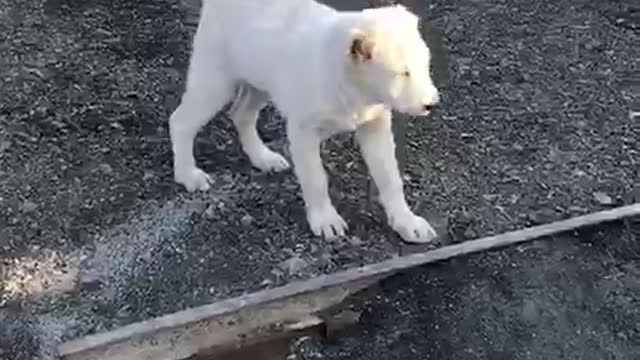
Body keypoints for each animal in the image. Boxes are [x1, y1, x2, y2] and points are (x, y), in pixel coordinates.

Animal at [169, 0, 440, 245]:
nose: (432, 104)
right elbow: (315, 179)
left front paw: (406, 222)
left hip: (259, 82)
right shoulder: (303, 132)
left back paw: (262, 158)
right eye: (403, 73)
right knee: (180, 122)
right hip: (215, 80)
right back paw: (188, 174)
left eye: (425, 65)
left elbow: (390, 177)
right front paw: (325, 220)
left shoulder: (375, 125)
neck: (353, 85)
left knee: (241, 114)